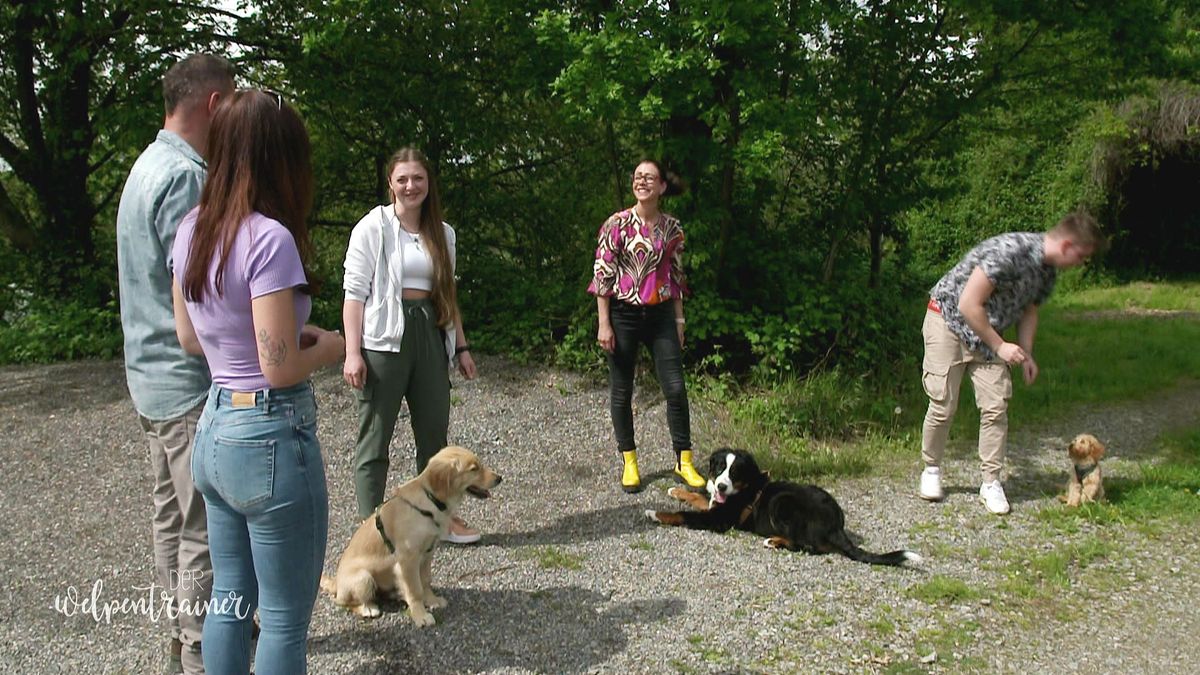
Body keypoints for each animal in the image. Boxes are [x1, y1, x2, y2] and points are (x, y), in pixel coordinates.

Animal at [316, 444, 499, 624]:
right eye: (474, 469)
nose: (499, 478)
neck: (429, 501)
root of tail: (336, 583)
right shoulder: (407, 560)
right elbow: (415, 590)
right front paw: (421, 615)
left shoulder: (427, 553)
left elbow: (425, 581)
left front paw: (432, 600)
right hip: (363, 578)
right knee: (342, 602)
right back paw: (368, 608)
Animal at [648, 449, 916, 564]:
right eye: (720, 467)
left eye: (735, 473)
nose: (722, 486)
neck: (745, 488)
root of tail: (836, 523)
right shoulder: (715, 505)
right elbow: (698, 498)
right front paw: (677, 491)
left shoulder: (719, 518)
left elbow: (683, 514)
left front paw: (656, 514)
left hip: (782, 502)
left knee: (808, 546)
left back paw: (774, 541)